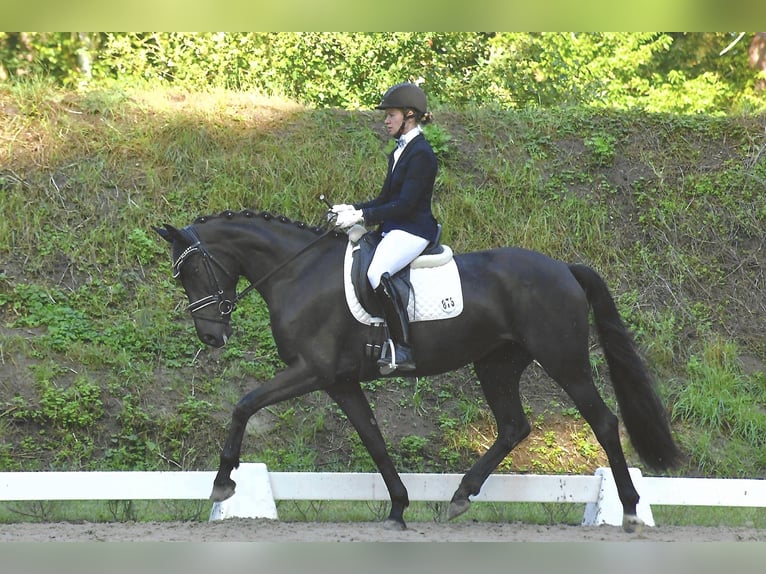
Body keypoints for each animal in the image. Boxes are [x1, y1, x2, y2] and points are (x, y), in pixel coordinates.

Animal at [158, 209, 684, 532]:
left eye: (194, 271)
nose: (211, 337)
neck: (297, 273)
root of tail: (564, 268)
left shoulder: (312, 370)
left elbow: (243, 405)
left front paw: (223, 482)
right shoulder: (340, 381)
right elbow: (373, 438)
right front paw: (397, 507)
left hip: (563, 361)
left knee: (604, 422)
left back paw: (630, 509)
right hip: (495, 364)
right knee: (514, 426)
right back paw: (461, 495)